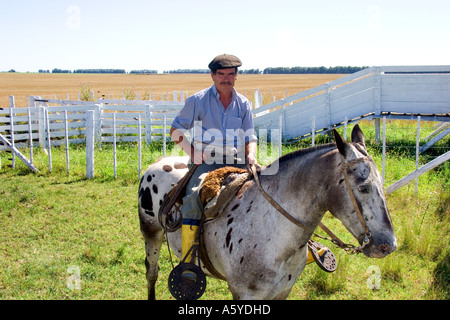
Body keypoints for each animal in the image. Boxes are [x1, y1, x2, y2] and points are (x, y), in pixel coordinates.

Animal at [138, 125, 398, 300]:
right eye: (363, 187)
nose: (388, 245)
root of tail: (157, 164)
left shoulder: (283, 291)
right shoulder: (246, 295)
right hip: (151, 233)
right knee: (152, 272)